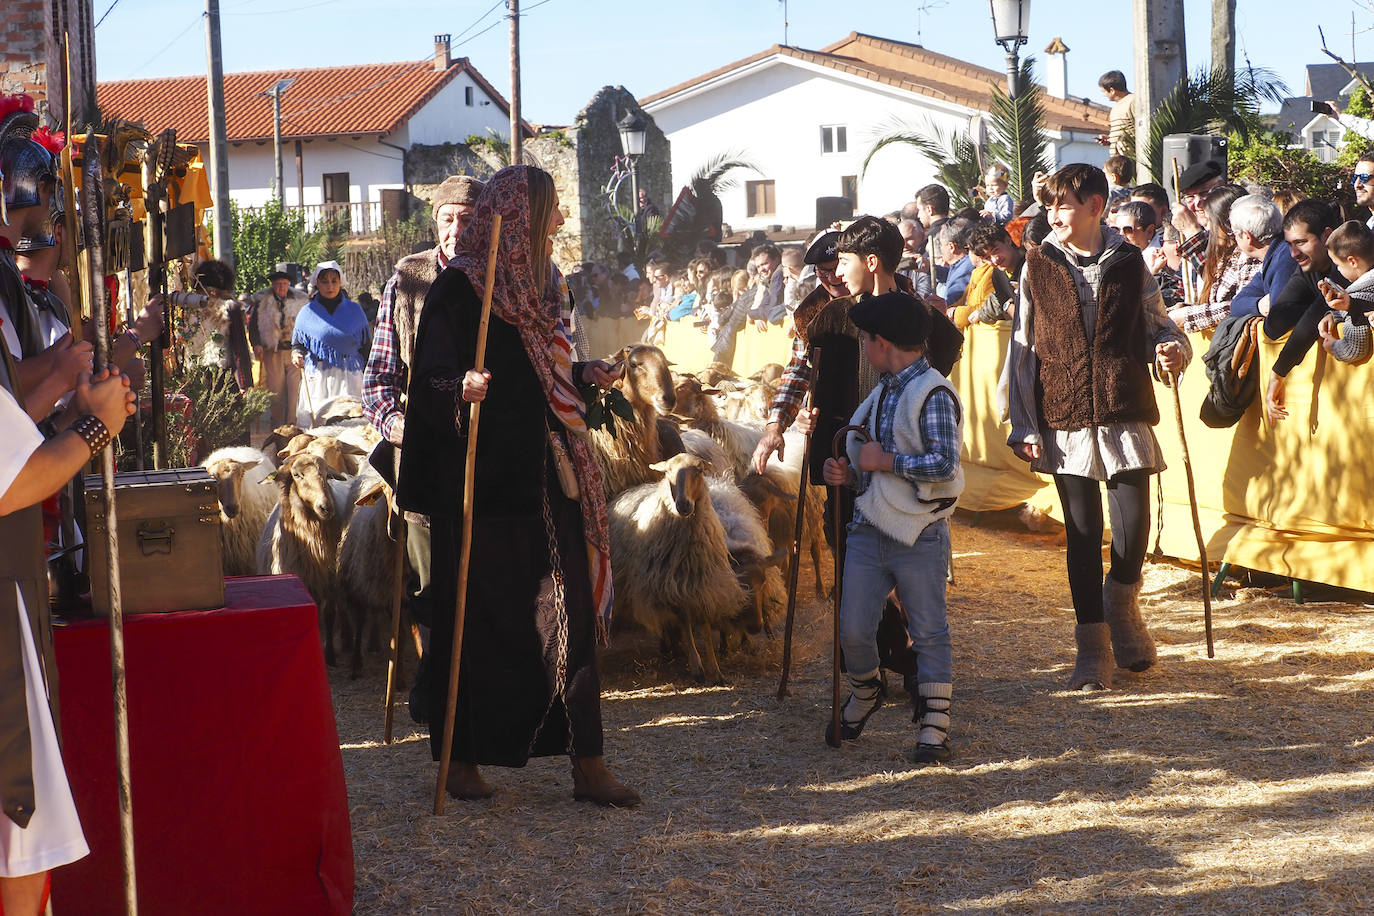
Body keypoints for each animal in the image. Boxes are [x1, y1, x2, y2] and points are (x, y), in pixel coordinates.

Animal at [258, 450, 351, 667]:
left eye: (326, 475)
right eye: (297, 475)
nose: (326, 507)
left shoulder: (329, 581)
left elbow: (329, 615)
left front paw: (329, 655)